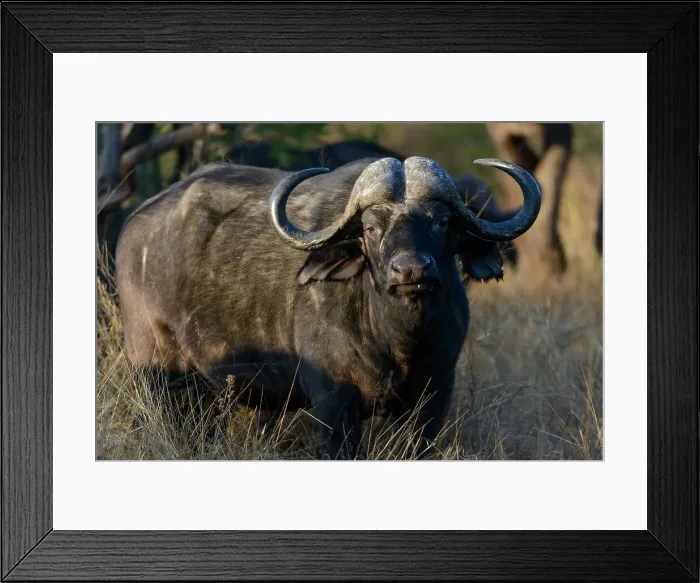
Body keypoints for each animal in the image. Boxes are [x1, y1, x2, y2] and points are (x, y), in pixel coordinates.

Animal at [115, 156, 540, 459]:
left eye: (441, 222)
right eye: (370, 227)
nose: (411, 269)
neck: (399, 343)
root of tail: (133, 226)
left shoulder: (434, 395)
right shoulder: (334, 401)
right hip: (158, 371)